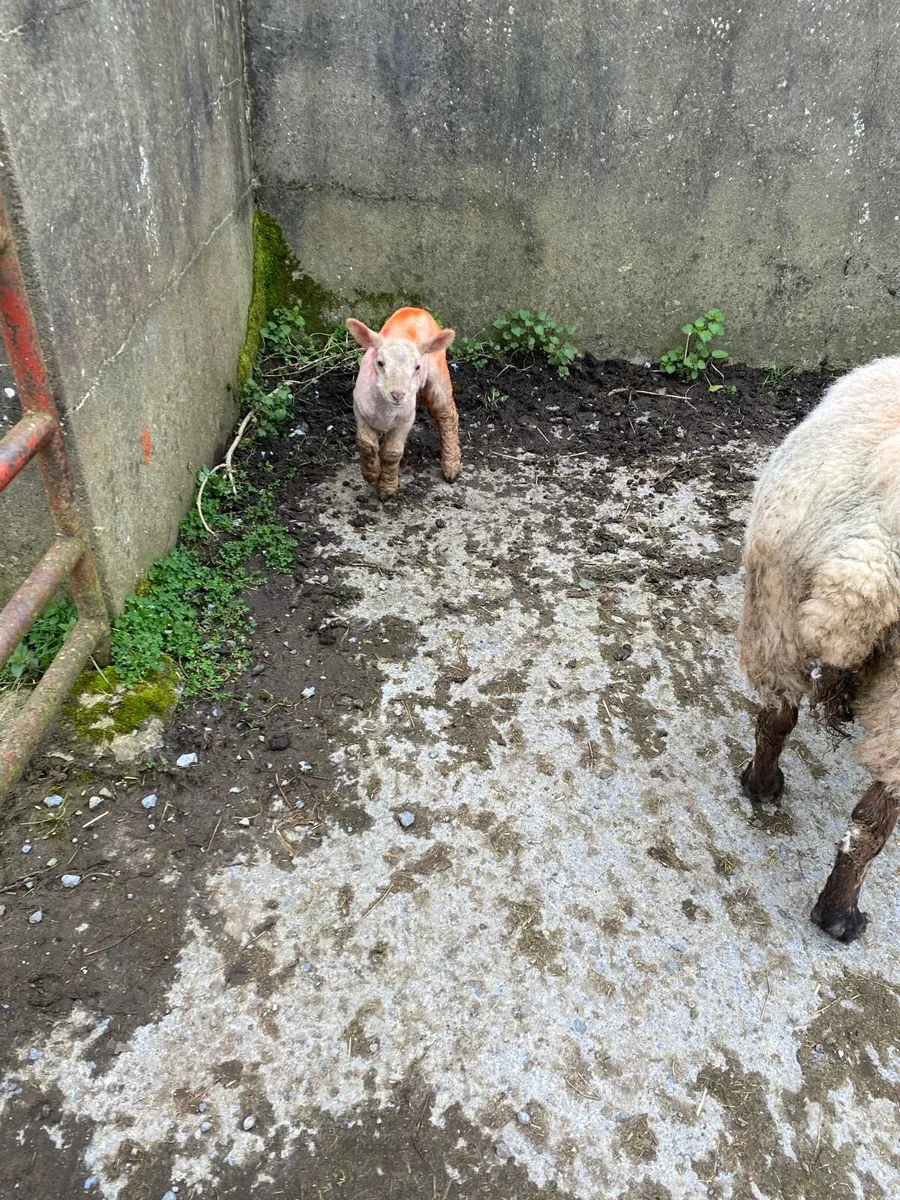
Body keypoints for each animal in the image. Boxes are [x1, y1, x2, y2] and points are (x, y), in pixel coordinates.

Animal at [345, 308, 460, 500]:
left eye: (417, 367)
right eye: (380, 363)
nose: (398, 395)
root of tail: (416, 309)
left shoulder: (406, 419)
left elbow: (392, 452)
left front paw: (387, 488)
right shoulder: (360, 408)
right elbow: (366, 444)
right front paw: (371, 473)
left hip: (438, 372)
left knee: (446, 414)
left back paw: (451, 466)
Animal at [738, 354, 900, 943]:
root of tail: (874, 550)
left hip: (774, 608)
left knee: (777, 714)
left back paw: (762, 787)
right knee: (871, 826)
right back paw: (840, 919)